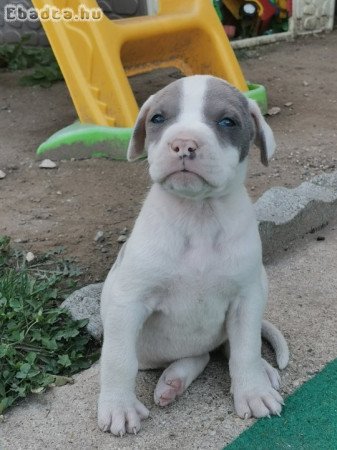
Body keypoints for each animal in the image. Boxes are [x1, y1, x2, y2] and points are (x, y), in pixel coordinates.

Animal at [98, 74, 288, 436]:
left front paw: (253, 391)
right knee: (198, 355)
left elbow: (245, 349)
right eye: (158, 118)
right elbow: (117, 359)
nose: (184, 144)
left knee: (221, 350)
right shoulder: (127, 301)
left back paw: (258, 372)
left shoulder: (246, 298)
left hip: (260, 286)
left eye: (227, 122)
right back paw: (173, 380)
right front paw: (118, 406)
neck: (198, 214)